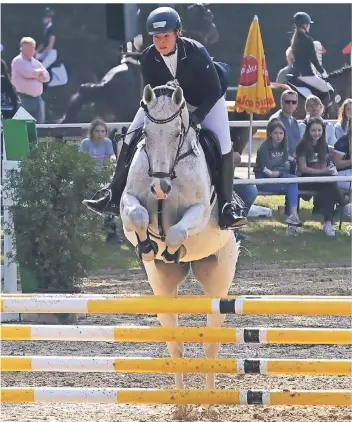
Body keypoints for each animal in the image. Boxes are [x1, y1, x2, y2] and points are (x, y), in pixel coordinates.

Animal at [119, 81, 238, 416]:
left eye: (176, 135)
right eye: (145, 135)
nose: (160, 187)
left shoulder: (198, 212)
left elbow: (176, 231)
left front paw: (172, 249)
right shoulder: (127, 204)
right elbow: (138, 216)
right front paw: (147, 245)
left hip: (218, 282)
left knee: (211, 343)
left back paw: (210, 407)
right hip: (162, 287)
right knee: (175, 344)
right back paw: (181, 406)